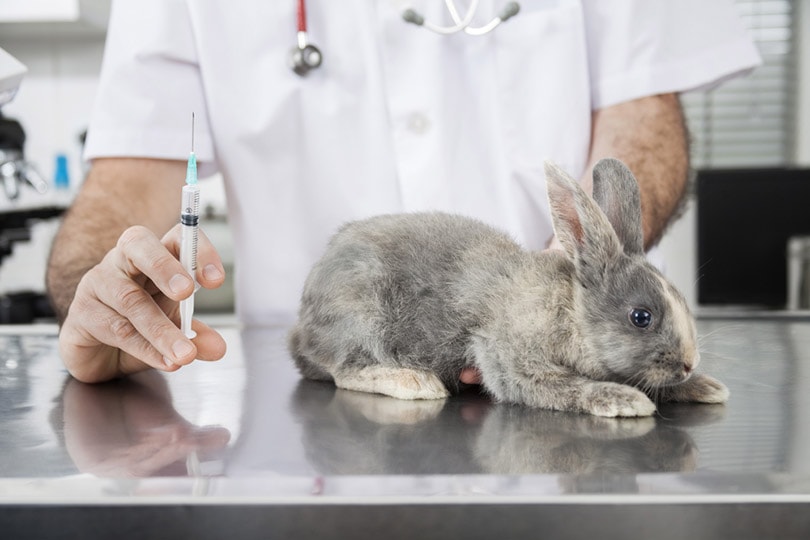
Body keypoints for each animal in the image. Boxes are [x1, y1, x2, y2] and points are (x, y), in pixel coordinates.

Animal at [287, 158, 729, 417]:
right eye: (641, 317)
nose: (689, 363)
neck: (568, 311)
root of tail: (302, 328)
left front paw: (706, 388)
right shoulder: (511, 359)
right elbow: (565, 386)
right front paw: (626, 400)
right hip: (360, 315)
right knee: (346, 370)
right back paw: (414, 382)